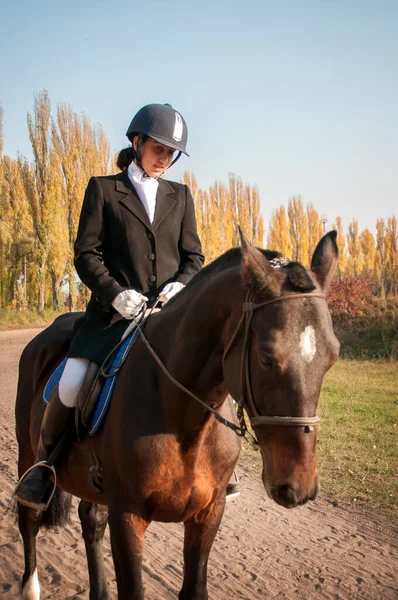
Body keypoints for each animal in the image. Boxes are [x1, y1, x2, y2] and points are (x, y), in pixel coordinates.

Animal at [14, 231, 338, 600]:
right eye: (267, 357)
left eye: (333, 356)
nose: (299, 487)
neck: (187, 423)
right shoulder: (127, 516)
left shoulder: (208, 514)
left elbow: (195, 588)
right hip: (27, 451)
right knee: (29, 518)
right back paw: (30, 584)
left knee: (91, 520)